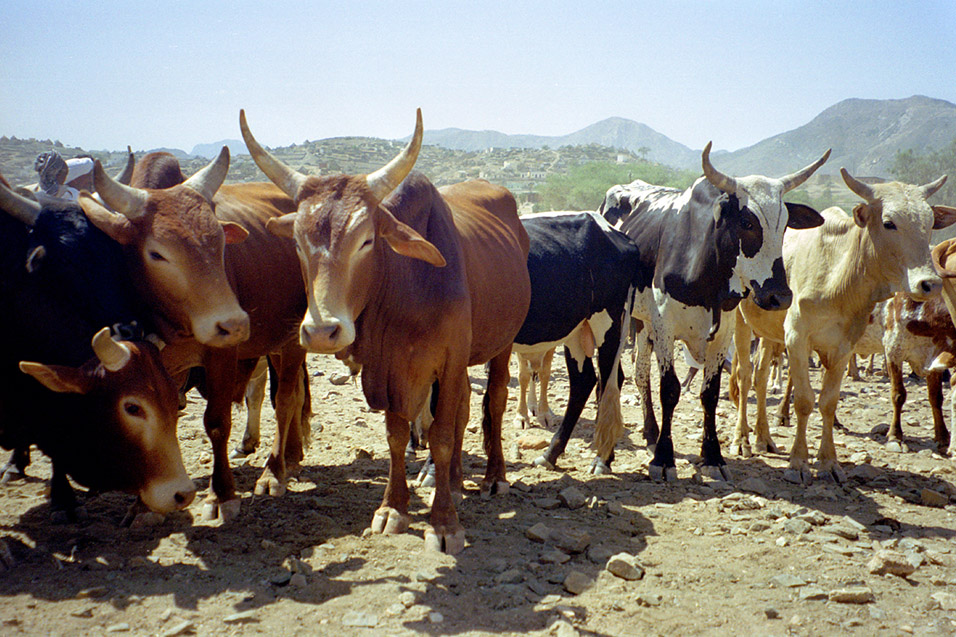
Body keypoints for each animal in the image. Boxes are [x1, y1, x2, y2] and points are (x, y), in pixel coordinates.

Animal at [596, 144, 828, 480]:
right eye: (747, 223)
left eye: (784, 225)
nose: (780, 296)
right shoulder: (665, 325)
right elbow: (670, 389)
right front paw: (664, 458)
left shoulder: (722, 332)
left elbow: (710, 393)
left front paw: (712, 456)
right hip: (623, 317)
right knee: (617, 373)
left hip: (643, 323)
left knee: (640, 374)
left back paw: (650, 431)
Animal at [732, 169, 956, 482]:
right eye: (889, 222)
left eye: (930, 223)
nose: (929, 283)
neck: (837, 276)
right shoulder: (798, 339)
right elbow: (804, 400)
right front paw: (798, 462)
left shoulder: (842, 346)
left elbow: (828, 402)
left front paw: (828, 462)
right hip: (740, 323)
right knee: (744, 375)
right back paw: (742, 439)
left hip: (769, 332)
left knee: (761, 376)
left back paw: (763, 437)